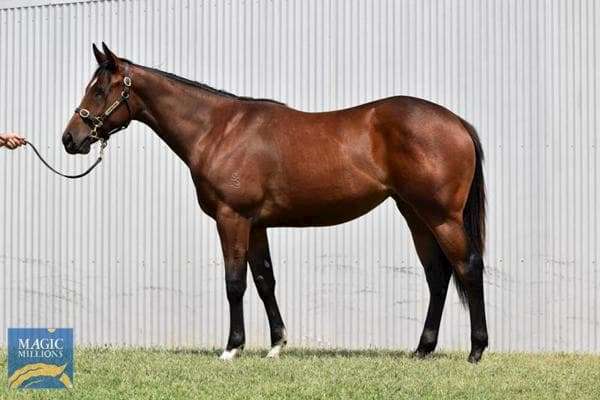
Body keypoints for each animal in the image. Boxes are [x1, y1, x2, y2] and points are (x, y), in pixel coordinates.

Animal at [62, 43, 488, 363]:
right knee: (437, 275)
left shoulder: (231, 218)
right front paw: (276, 345)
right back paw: (422, 349)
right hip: (414, 214)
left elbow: (235, 282)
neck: (218, 130)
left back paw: (476, 350)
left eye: (98, 90)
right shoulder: (257, 224)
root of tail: (457, 123)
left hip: (441, 216)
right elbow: (265, 280)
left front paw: (232, 348)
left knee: (467, 267)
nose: (70, 139)